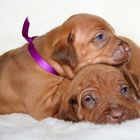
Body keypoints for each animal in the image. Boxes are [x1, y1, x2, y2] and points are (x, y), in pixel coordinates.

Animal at [0, 13, 131, 120]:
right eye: (100, 36)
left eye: (114, 32)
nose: (129, 49)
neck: (45, 61)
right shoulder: (43, 105)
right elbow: (66, 83)